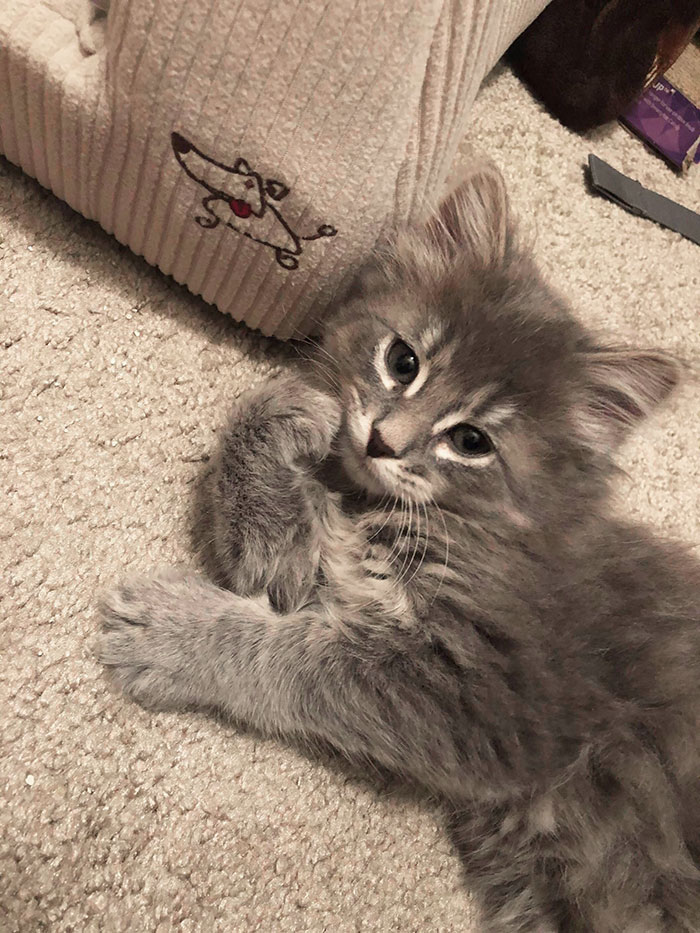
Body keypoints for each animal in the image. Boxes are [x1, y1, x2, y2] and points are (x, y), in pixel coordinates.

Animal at [98, 164, 700, 928]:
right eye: (402, 361)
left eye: (471, 440)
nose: (383, 439)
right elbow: (273, 537)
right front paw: (294, 427)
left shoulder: (489, 698)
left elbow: (295, 662)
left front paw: (171, 633)